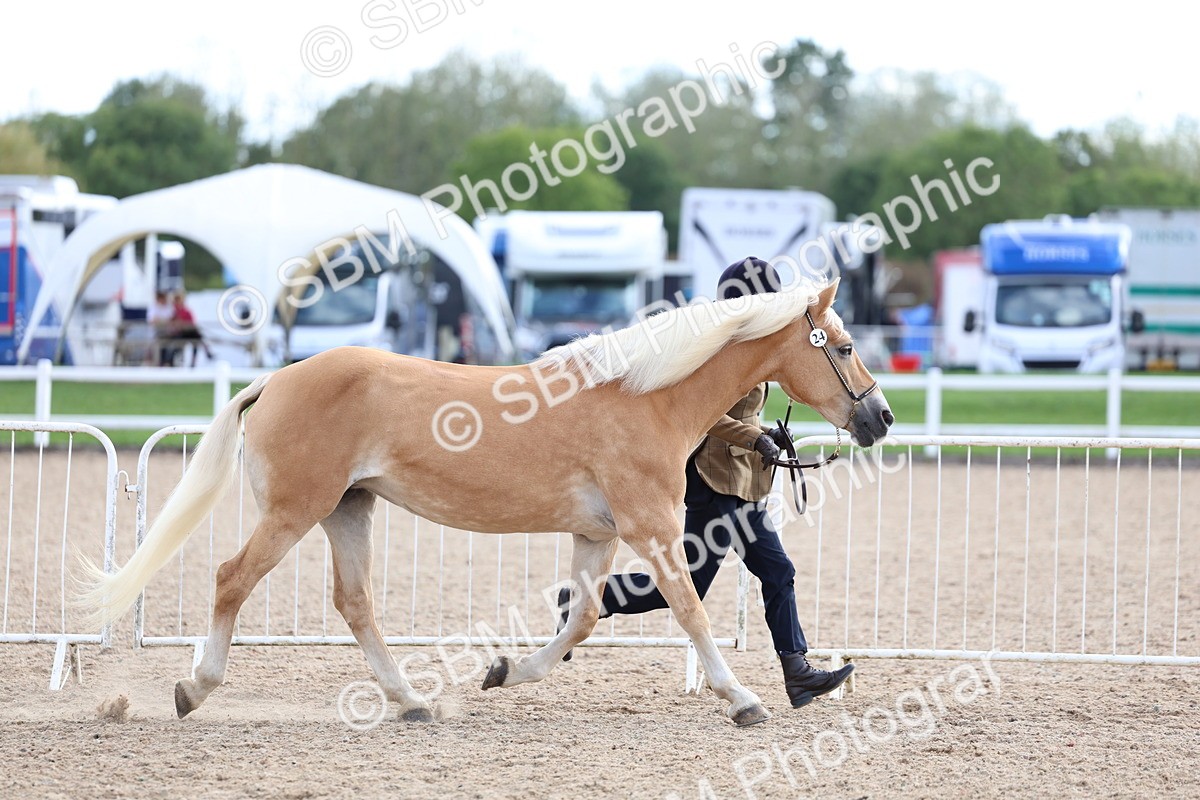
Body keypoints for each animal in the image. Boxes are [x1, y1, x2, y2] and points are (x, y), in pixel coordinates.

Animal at [78, 277, 892, 726]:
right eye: (846, 347)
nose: (880, 418)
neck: (644, 397)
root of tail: (276, 379)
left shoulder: (598, 535)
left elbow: (583, 618)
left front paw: (504, 672)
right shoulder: (653, 527)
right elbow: (690, 612)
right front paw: (744, 699)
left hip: (348, 510)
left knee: (355, 604)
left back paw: (412, 701)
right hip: (294, 512)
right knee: (232, 580)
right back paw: (195, 688)